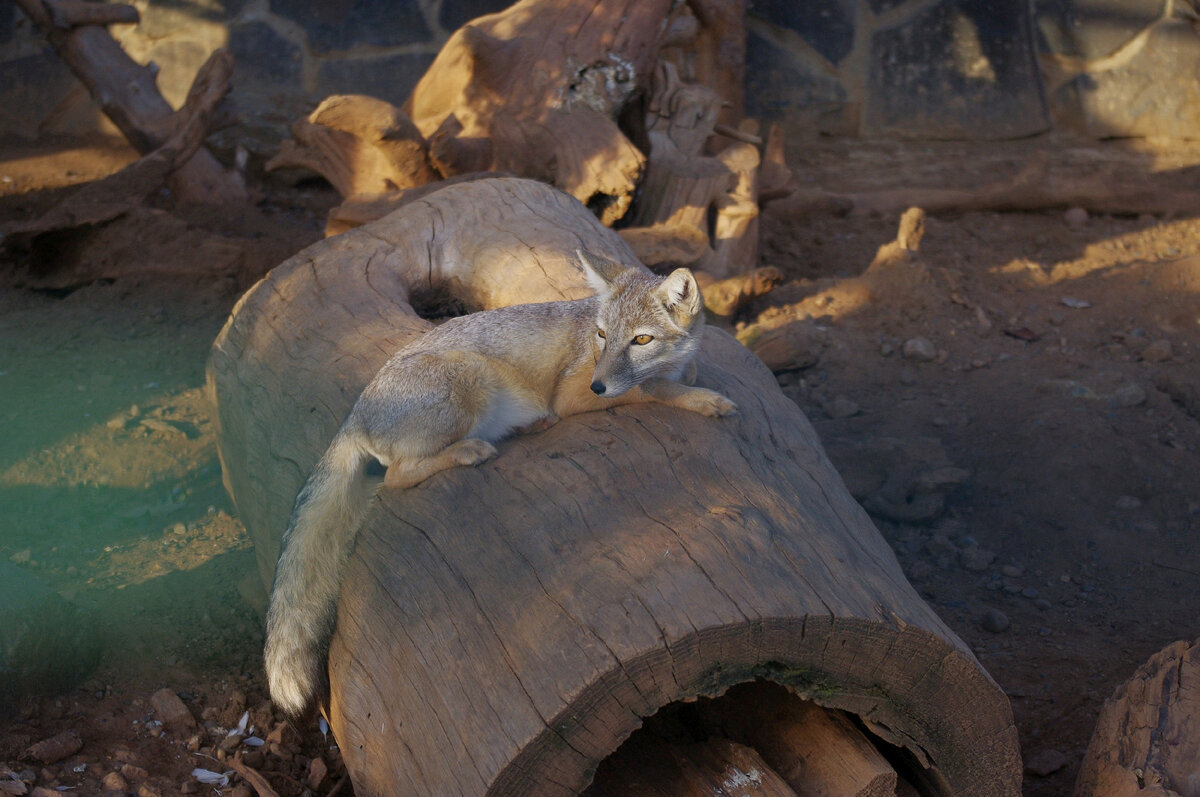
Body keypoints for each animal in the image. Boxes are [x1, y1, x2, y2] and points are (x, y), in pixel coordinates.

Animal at [264, 247, 734, 715]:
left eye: (641, 340)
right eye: (602, 335)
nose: (599, 385)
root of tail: (355, 414)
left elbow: (676, 375)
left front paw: (691, 379)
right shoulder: (573, 394)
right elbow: (654, 389)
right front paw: (704, 400)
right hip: (472, 374)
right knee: (394, 477)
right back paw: (470, 449)